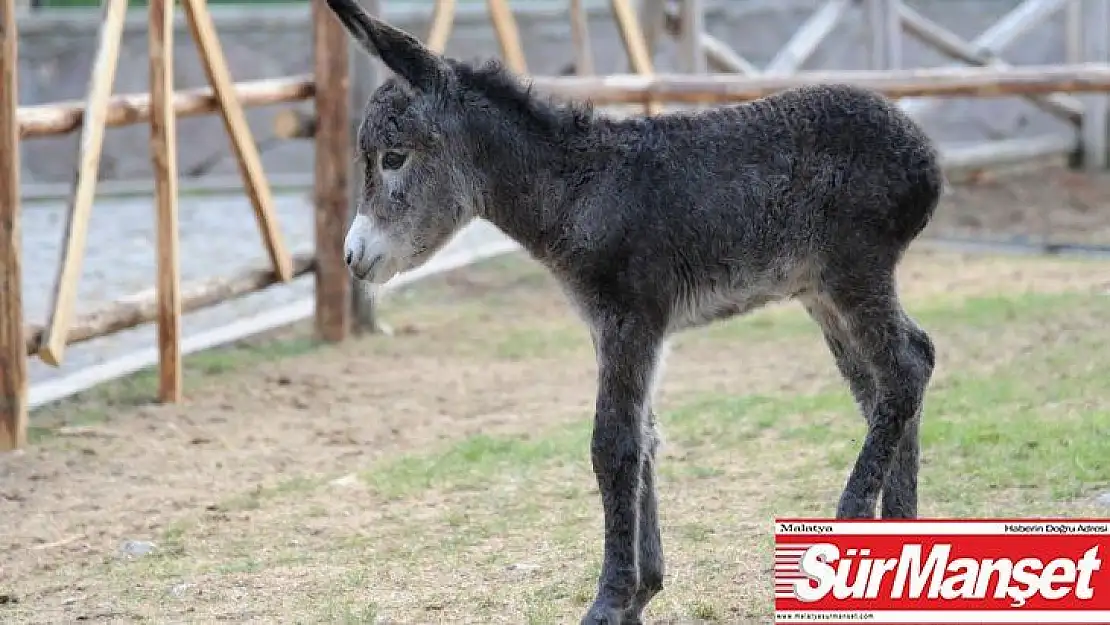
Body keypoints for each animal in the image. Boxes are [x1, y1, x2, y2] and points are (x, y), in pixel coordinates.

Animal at [324, 1, 941, 621]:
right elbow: (643, 439)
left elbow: (613, 445)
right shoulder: (614, 330)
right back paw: (897, 544)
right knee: (888, 381)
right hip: (823, 293)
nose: (353, 257)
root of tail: (924, 152)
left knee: (906, 368)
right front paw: (643, 592)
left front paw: (610, 600)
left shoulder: (632, 319)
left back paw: (854, 515)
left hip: (853, 270)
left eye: (393, 157)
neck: (579, 189)